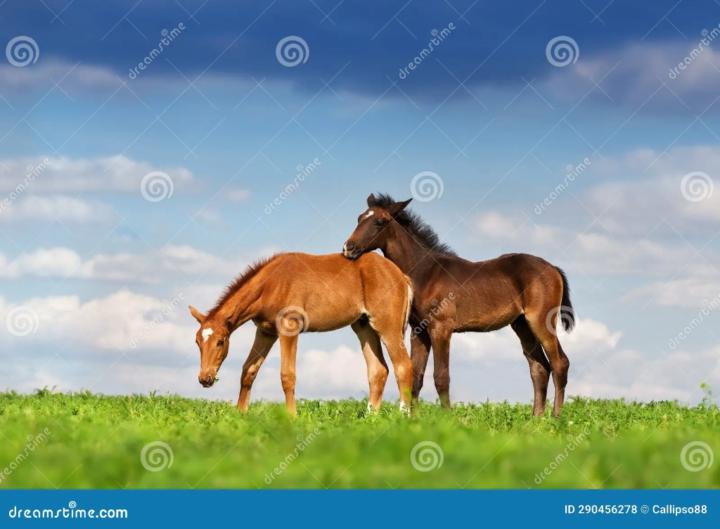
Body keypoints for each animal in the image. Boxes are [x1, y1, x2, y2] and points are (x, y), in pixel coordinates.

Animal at [188, 251, 414, 415]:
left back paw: (403, 416)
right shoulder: (266, 331)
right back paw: (370, 418)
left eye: (220, 341)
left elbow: (287, 375)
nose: (205, 378)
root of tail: (401, 275)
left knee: (403, 366)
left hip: (388, 326)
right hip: (364, 326)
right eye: (197, 342)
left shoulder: (289, 327)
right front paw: (240, 414)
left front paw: (291, 417)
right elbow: (248, 370)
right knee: (378, 370)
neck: (272, 283)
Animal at [341, 194, 575, 416]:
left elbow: (441, 376)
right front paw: (412, 421)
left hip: (541, 321)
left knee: (559, 363)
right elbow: (416, 376)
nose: (348, 248)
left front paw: (447, 420)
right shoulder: (419, 331)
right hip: (522, 325)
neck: (426, 273)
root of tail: (553, 268)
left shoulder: (441, 328)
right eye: (359, 218)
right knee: (539, 367)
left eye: (380, 221)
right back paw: (536, 420)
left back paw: (556, 418)